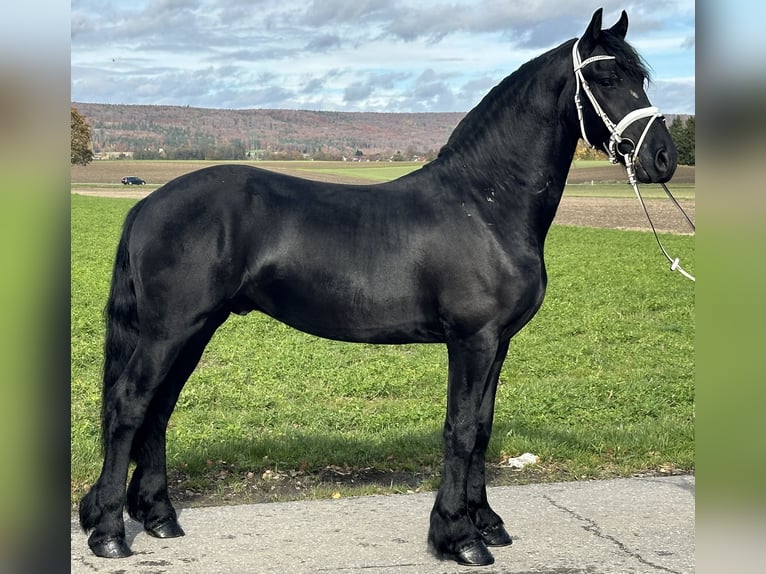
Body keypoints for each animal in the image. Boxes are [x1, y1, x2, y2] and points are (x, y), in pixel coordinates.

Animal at [79, 8, 677, 566]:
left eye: (642, 77)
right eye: (604, 76)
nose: (663, 158)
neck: (486, 203)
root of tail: (147, 203)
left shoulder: (498, 343)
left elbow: (483, 428)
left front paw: (487, 523)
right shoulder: (473, 341)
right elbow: (461, 429)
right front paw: (458, 538)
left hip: (195, 329)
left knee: (158, 409)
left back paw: (158, 517)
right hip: (170, 331)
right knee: (131, 405)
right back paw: (108, 533)